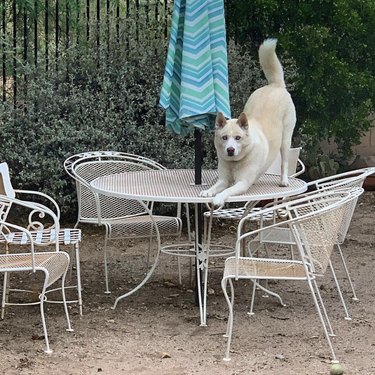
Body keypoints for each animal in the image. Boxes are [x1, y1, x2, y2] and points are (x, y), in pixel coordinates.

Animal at [201, 39, 296, 209]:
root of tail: (275, 85)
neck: (234, 162)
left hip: (286, 140)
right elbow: (216, 186)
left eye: (238, 138)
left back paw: (284, 181)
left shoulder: (242, 183)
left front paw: (218, 198)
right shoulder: (223, 180)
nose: (230, 150)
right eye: (224, 137)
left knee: (284, 162)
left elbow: (227, 191)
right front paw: (208, 191)